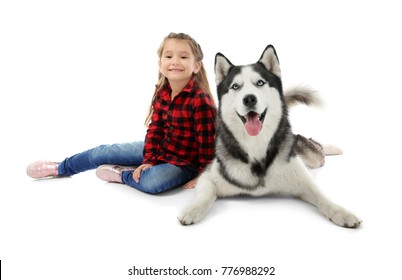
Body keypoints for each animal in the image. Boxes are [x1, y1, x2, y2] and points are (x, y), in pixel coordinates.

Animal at [179, 44, 362, 228]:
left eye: (260, 83)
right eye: (235, 86)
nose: (249, 99)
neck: (255, 146)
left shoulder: (303, 181)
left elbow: (322, 196)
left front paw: (342, 212)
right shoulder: (208, 177)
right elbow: (205, 195)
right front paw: (192, 210)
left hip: (312, 157)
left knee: (315, 147)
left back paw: (332, 148)